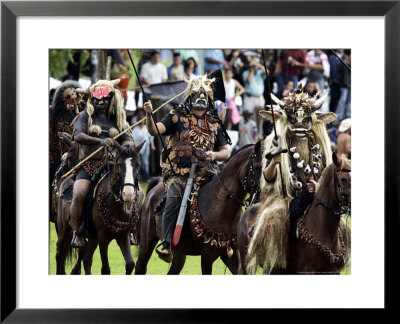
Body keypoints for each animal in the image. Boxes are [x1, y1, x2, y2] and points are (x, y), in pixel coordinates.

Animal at [54, 140, 145, 274]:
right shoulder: (103, 238)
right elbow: (105, 269)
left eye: (138, 165)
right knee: (60, 253)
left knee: (86, 259)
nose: (128, 193)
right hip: (63, 228)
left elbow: (130, 264)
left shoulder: (123, 236)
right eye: (119, 165)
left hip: (92, 237)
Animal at [136, 141, 264, 274]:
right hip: (147, 243)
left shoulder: (232, 254)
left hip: (179, 253)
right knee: (141, 266)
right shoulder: (207, 255)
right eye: (258, 167)